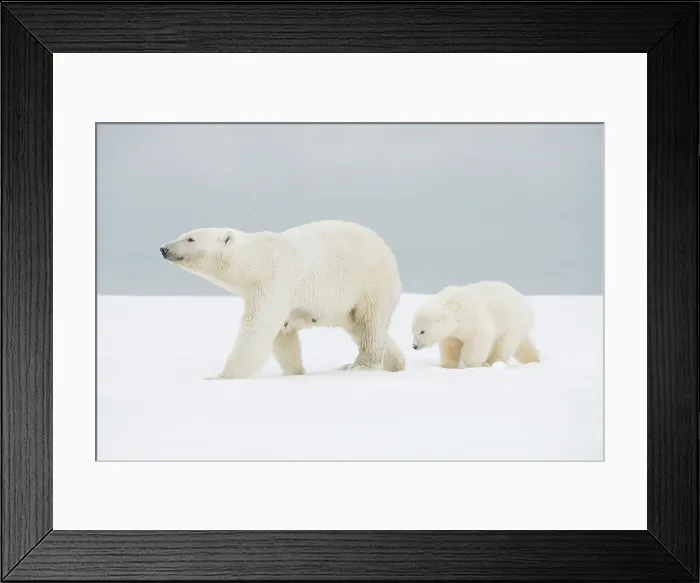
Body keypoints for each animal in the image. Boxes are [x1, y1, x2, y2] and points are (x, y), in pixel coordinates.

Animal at [159, 220, 406, 379]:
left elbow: (258, 329)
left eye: (190, 238)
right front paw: (295, 372)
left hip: (370, 283)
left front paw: (220, 376)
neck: (255, 261)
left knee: (369, 323)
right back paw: (397, 362)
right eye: (183, 235)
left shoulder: (273, 282)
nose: (163, 248)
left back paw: (359, 366)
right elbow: (283, 334)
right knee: (363, 327)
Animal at [410, 281, 540, 368]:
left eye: (422, 331)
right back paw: (534, 359)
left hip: (510, 322)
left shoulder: (473, 319)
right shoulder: (452, 332)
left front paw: (472, 363)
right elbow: (450, 346)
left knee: (503, 346)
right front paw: (445, 366)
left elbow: (479, 340)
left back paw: (490, 363)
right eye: (413, 331)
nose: (414, 346)